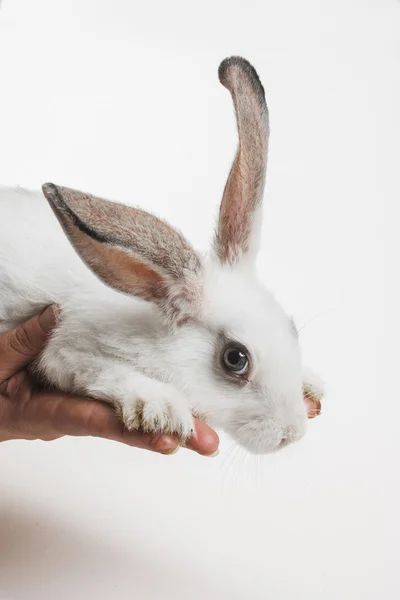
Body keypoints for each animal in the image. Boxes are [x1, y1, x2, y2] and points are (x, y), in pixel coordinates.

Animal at [0, 57, 324, 454]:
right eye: (235, 359)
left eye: (290, 328)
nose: (292, 434)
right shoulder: (66, 349)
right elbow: (101, 371)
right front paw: (160, 407)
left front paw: (312, 381)